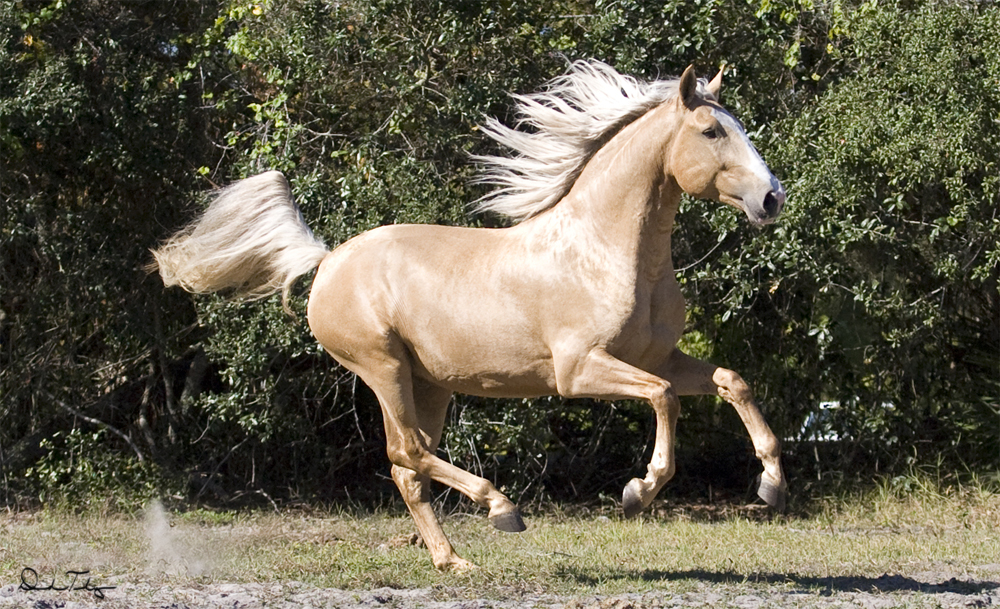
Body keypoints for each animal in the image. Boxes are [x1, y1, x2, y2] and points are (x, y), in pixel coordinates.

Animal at [150, 59, 788, 568]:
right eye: (711, 130)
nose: (771, 199)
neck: (604, 250)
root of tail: (328, 259)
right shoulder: (579, 370)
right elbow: (665, 398)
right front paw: (640, 491)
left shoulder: (658, 357)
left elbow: (732, 381)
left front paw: (772, 485)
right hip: (382, 368)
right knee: (406, 452)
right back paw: (500, 510)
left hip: (428, 383)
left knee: (409, 468)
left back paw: (450, 559)